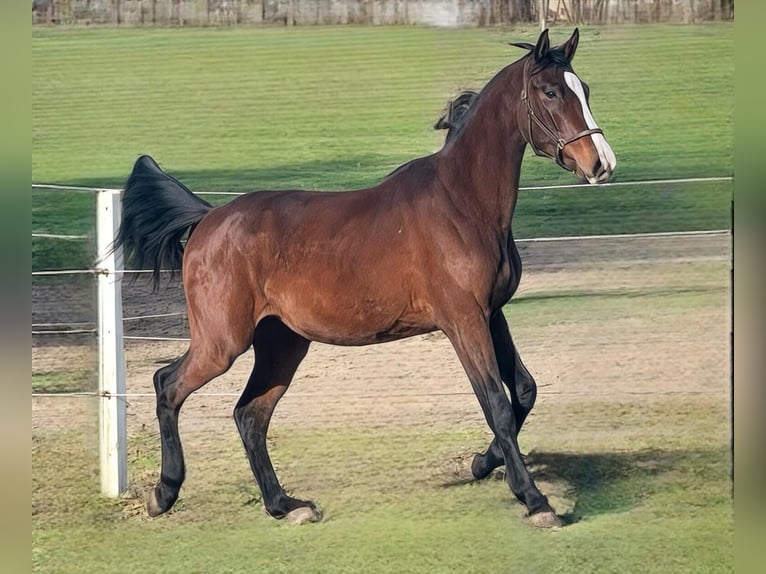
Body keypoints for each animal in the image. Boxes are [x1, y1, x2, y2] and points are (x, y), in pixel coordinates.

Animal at [115, 28, 616, 532]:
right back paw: (164, 493)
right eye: (550, 92)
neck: (462, 203)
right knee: (167, 384)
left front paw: (481, 463)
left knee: (249, 415)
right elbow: (496, 403)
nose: (601, 164)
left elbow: (524, 393)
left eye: (587, 90)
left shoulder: (493, 315)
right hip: (223, 342)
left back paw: (286, 505)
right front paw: (534, 500)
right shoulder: (463, 320)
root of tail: (208, 219)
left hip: (282, 343)